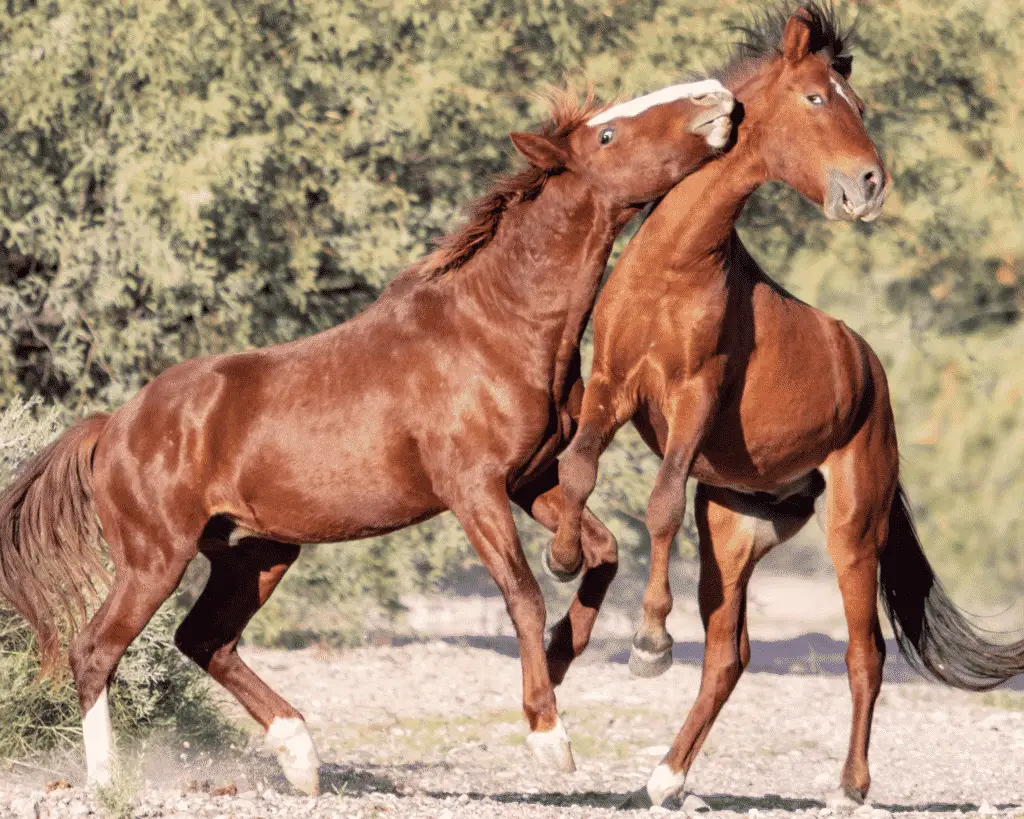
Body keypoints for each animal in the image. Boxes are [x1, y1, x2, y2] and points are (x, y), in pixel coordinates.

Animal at [0, 79, 737, 790]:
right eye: (608, 134)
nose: (717, 100)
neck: (497, 327)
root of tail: (113, 426)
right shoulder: (474, 490)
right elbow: (523, 594)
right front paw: (548, 735)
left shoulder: (531, 480)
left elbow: (603, 554)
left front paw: (583, 658)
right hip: (155, 558)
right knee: (95, 649)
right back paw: (106, 782)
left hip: (257, 553)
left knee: (203, 639)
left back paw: (300, 757)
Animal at [557, 3, 1024, 810]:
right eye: (815, 99)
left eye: (856, 103)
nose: (869, 185)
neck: (674, 268)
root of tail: (871, 374)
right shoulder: (613, 390)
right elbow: (580, 472)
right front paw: (560, 560)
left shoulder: (693, 400)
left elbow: (658, 504)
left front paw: (649, 642)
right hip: (734, 528)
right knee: (728, 653)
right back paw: (667, 778)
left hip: (853, 529)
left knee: (865, 654)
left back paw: (850, 787)